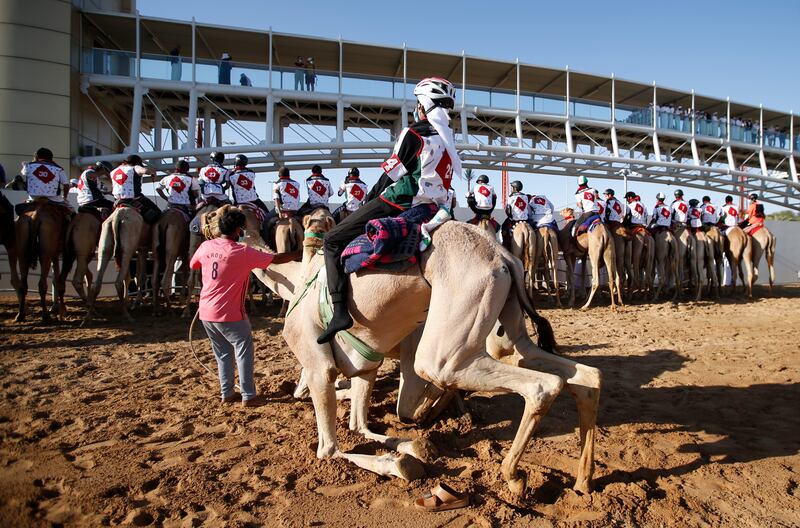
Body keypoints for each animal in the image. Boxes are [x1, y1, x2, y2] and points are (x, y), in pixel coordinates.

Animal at [253, 222, 596, 500]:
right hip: (511, 333)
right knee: (584, 376)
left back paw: (513, 476)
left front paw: (403, 461)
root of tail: (503, 257)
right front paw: (415, 445)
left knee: (540, 386)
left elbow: (331, 448)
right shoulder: (366, 367)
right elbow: (360, 425)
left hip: (441, 355)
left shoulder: (319, 369)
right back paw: (582, 481)